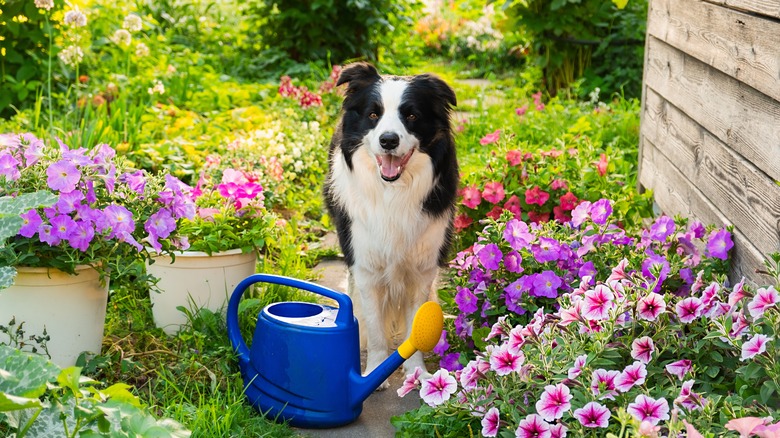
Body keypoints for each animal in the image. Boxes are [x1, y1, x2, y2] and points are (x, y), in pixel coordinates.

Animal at [322, 63, 458, 384]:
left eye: (412, 116)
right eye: (374, 114)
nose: (388, 140)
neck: (393, 191)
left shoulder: (422, 268)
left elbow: (414, 326)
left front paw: (416, 371)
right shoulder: (366, 265)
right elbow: (374, 327)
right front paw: (375, 370)